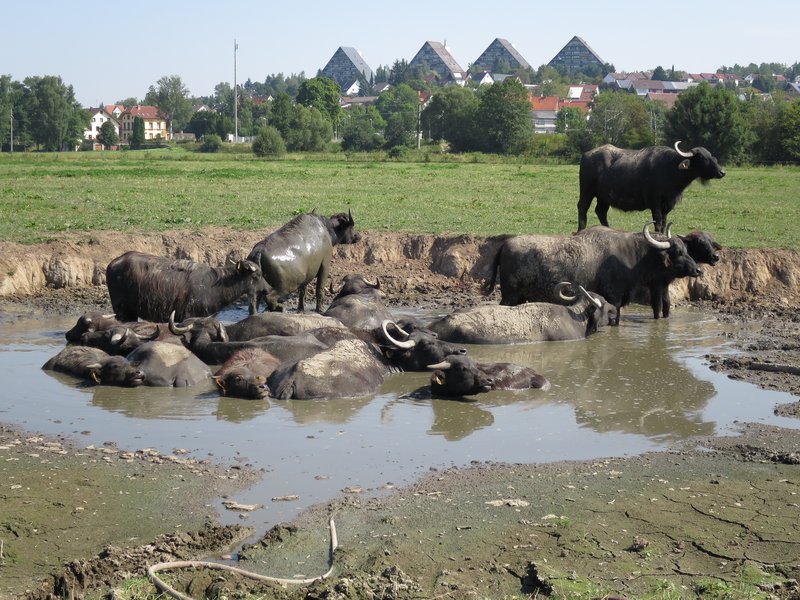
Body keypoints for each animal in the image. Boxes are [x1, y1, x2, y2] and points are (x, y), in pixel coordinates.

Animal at [101, 251, 266, 324]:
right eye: (256, 275)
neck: (215, 285)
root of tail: (113, 263)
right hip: (122, 312)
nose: (267, 289)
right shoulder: (190, 316)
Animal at [482, 220, 700, 324]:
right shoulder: (615, 297)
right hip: (510, 296)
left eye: (687, 249)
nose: (698, 269)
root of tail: (505, 244)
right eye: (678, 252)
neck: (633, 256)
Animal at [576, 142, 724, 233]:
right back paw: (581, 230)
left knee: (600, 211)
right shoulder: (655, 203)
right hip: (587, 191)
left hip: (603, 197)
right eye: (702, 157)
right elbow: (657, 222)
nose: (722, 172)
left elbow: (664, 223)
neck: (671, 168)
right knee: (582, 207)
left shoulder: (667, 205)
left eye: (711, 155)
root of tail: (586, 155)